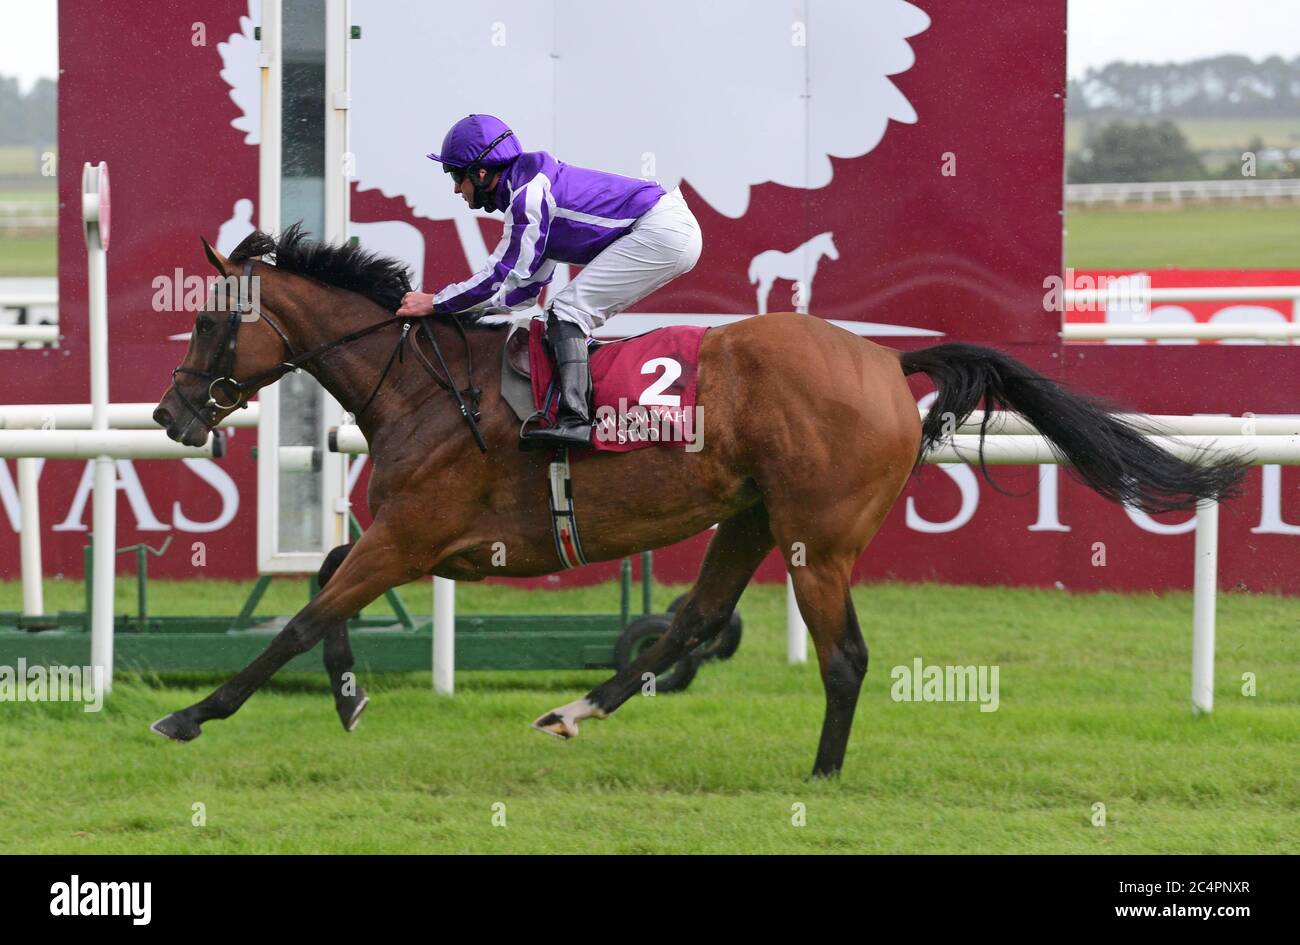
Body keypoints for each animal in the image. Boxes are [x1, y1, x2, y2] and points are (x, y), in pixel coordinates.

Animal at [147, 227, 1242, 774]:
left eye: (207, 321)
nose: (170, 411)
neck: (424, 383)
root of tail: (886, 362)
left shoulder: (418, 534)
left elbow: (304, 612)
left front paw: (194, 714)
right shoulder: (421, 541)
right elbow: (325, 584)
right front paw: (347, 693)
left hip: (815, 539)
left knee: (842, 657)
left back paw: (821, 775)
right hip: (751, 514)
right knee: (696, 619)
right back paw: (575, 711)